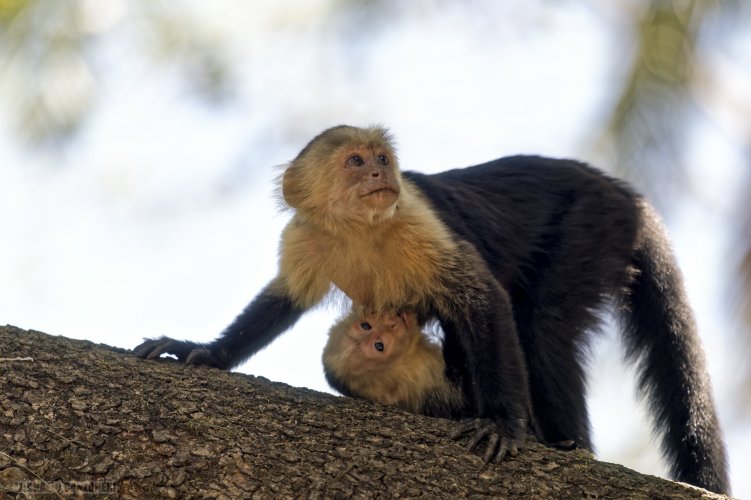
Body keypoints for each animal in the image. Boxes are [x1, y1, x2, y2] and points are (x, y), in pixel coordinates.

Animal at [134, 126, 728, 496]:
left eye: (382, 160)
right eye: (355, 162)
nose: (379, 174)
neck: (364, 230)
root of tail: (622, 192)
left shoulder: (416, 218)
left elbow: (483, 298)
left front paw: (503, 424)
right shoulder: (307, 236)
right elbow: (283, 300)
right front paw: (207, 352)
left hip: (592, 223)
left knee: (540, 323)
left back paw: (568, 445)